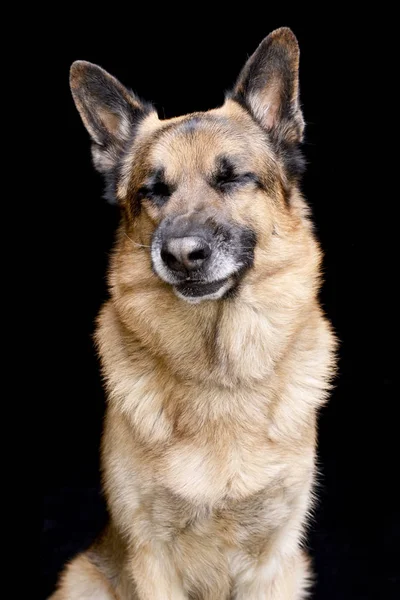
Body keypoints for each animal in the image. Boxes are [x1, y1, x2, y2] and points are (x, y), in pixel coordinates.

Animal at [50, 25, 338, 596]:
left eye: (231, 178)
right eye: (153, 190)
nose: (182, 254)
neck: (218, 376)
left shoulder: (275, 562)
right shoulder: (150, 557)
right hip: (81, 575)